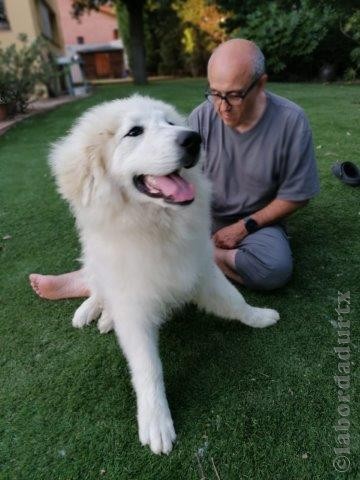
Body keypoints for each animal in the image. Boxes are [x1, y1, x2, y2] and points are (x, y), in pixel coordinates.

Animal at [50, 95, 280, 456]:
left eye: (170, 124)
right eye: (134, 132)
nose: (194, 140)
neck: (156, 227)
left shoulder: (200, 268)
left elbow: (235, 300)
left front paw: (259, 316)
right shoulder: (134, 306)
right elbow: (148, 368)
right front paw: (156, 421)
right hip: (97, 267)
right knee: (97, 289)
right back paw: (91, 312)